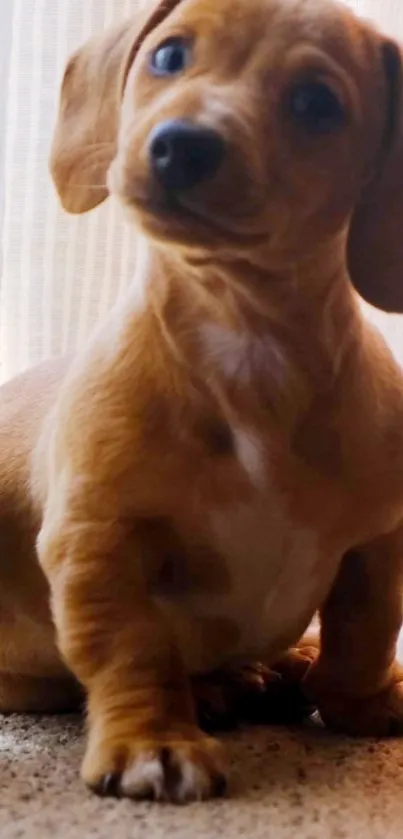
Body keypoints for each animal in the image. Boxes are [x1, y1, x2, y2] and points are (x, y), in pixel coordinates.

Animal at [1, 0, 403, 804]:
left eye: (317, 102)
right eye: (168, 55)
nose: (180, 147)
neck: (248, 344)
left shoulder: (378, 538)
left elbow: (366, 631)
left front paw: (361, 701)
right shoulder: (99, 540)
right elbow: (133, 649)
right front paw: (151, 741)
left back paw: (268, 670)